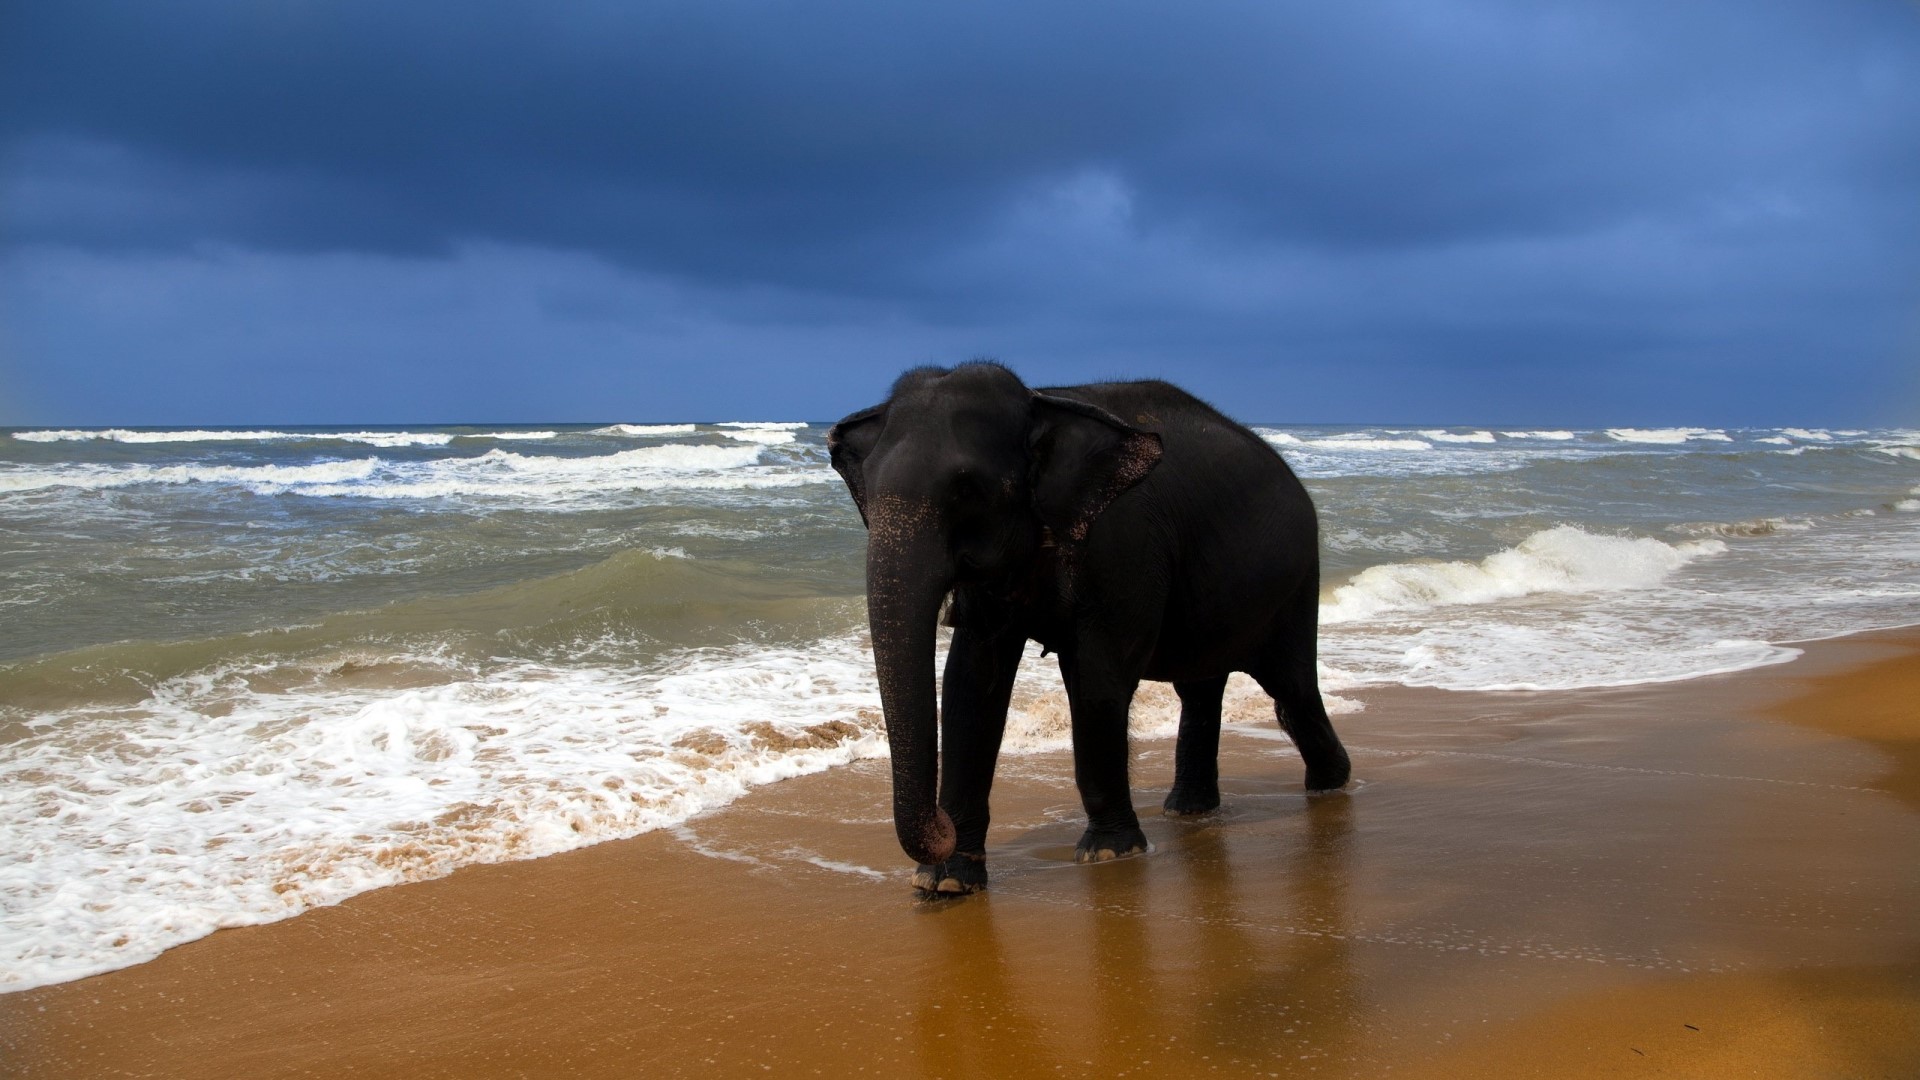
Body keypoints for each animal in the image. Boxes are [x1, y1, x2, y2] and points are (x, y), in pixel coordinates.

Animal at [828, 362, 1350, 896]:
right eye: (867, 489)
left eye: (966, 489)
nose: (942, 825)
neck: (1042, 402)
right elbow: (969, 685)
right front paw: (946, 883)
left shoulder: (1123, 545)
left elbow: (1097, 681)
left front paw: (1110, 853)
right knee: (1202, 687)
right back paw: (1188, 809)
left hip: (1296, 580)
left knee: (1291, 688)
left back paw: (1330, 784)